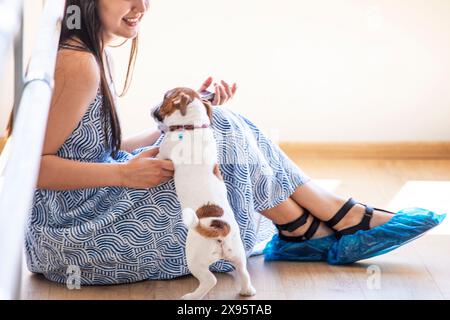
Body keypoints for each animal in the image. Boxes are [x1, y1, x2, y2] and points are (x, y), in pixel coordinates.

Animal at [152, 87, 255, 300]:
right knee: (243, 271)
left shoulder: (163, 153)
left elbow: (158, 154)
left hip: (194, 258)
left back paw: (192, 296)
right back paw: (246, 290)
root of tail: (220, 228)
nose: (153, 110)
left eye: (164, 98)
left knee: (210, 280)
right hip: (238, 253)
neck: (192, 127)